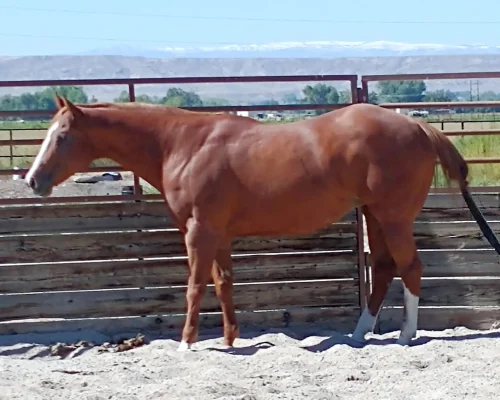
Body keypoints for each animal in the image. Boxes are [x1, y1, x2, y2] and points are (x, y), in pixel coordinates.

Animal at [25, 94, 500, 350]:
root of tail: (418, 126)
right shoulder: (217, 233)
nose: (32, 180)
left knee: (410, 267)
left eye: (62, 136)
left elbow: (195, 285)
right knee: (384, 269)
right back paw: (358, 335)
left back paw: (405, 335)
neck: (182, 144)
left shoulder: (198, 231)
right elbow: (223, 283)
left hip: (393, 216)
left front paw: (187, 342)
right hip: (375, 215)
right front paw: (230, 338)